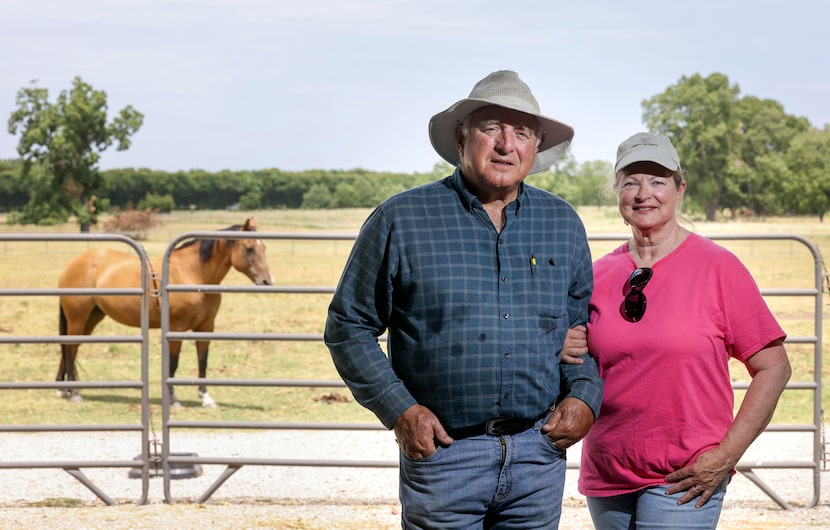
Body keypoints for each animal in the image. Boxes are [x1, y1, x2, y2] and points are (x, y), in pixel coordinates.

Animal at [56, 217, 276, 406]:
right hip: (78, 318)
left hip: (92, 318)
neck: (192, 273)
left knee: (70, 349)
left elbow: (202, 361)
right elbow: (173, 364)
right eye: (249, 248)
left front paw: (205, 398)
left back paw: (63, 389)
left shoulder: (206, 327)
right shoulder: (176, 329)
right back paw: (73, 393)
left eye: (264, 247)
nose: (267, 280)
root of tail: (75, 263)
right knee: (70, 348)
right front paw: (173, 400)